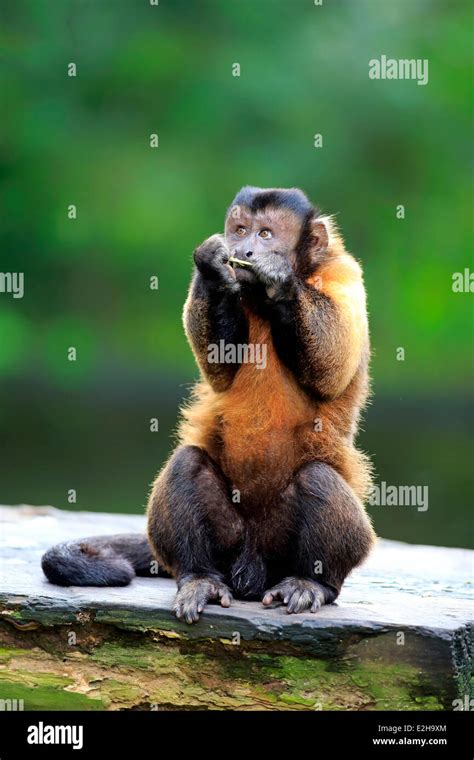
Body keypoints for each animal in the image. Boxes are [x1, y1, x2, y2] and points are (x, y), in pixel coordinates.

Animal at [40, 187, 376, 620]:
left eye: (265, 234)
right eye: (240, 230)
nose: (244, 250)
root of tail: (251, 570)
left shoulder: (345, 273)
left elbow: (331, 367)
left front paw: (278, 278)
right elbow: (219, 368)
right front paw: (214, 268)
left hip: (282, 549)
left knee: (317, 478)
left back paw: (311, 581)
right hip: (229, 547)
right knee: (189, 463)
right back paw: (199, 577)